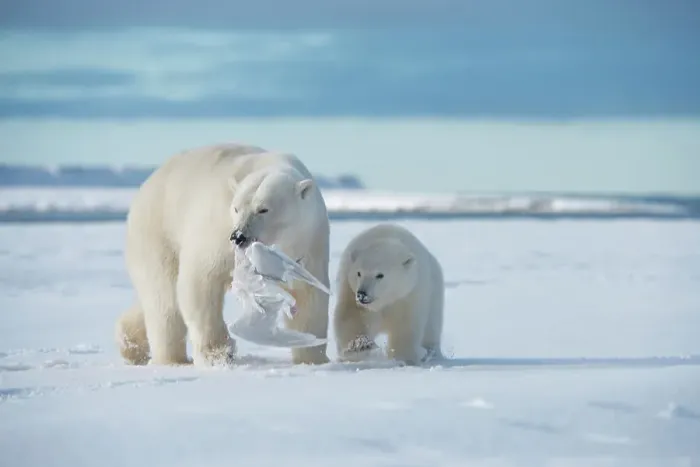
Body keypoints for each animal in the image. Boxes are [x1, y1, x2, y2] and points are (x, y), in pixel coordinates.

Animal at [115, 142, 331, 367]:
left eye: (263, 209)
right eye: (236, 208)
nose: (239, 236)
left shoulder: (310, 244)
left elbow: (309, 297)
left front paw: (314, 359)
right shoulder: (216, 232)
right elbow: (200, 282)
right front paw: (218, 355)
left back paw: (131, 343)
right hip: (158, 233)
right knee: (165, 299)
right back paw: (171, 359)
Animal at [332, 223, 444, 366]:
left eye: (380, 275)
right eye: (359, 273)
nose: (362, 294)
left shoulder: (409, 295)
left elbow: (405, 326)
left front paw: (404, 359)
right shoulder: (350, 290)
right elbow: (352, 317)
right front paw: (360, 346)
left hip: (434, 293)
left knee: (432, 328)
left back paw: (431, 354)